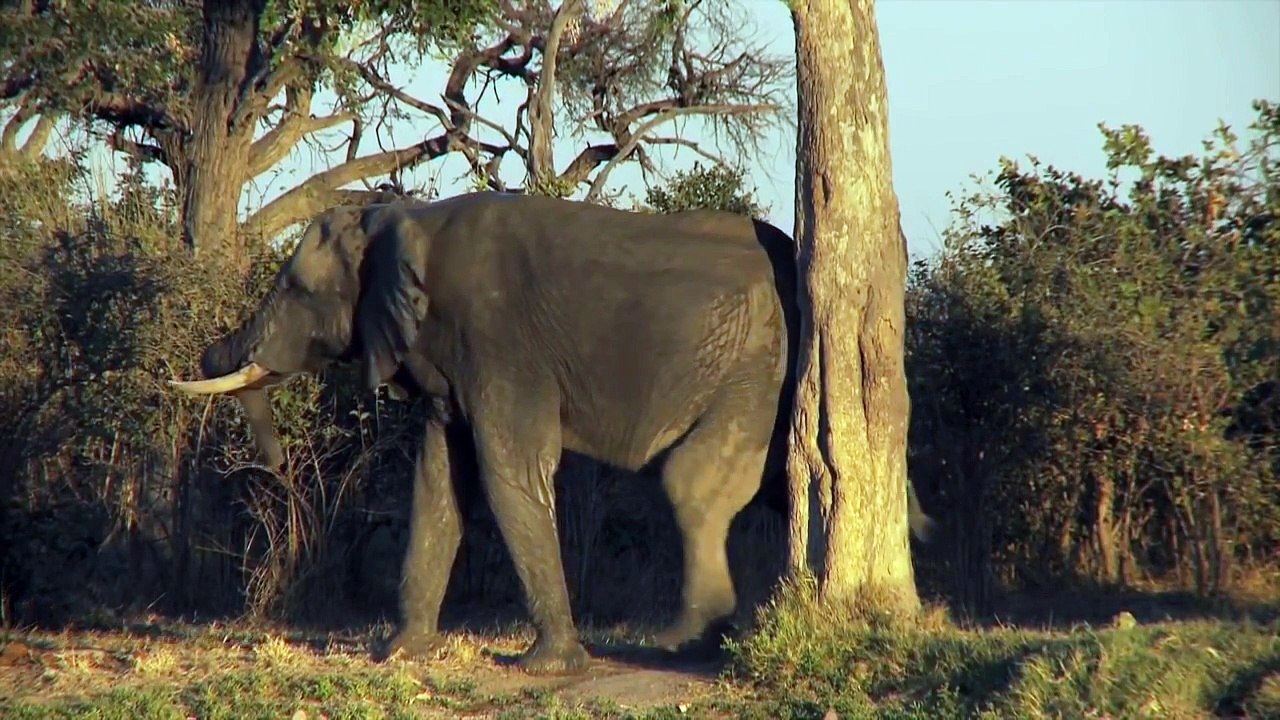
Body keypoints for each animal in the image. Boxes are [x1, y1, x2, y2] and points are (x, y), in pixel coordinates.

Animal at [169, 191, 932, 675]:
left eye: (296, 290)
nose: (272, 465)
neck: (404, 216)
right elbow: (439, 484)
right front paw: (398, 655)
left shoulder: (498, 341)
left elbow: (509, 475)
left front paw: (545, 667)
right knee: (770, 484)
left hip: (758, 366)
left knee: (687, 485)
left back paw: (681, 641)